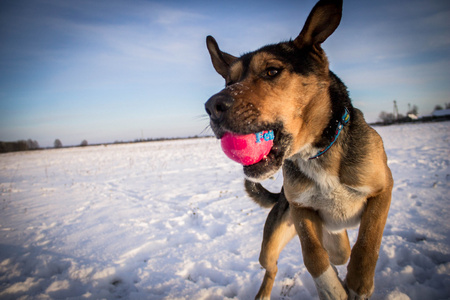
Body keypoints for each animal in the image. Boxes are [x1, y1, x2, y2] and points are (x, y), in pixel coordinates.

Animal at [206, 0, 392, 298]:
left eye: (272, 71)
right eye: (228, 82)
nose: (211, 107)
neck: (316, 153)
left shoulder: (383, 190)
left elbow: (368, 242)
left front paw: (358, 285)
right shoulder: (300, 208)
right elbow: (313, 255)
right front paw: (332, 289)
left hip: (335, 236)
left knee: (341, 253)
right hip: (273, 239)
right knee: (273, 267)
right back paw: (265, 293)